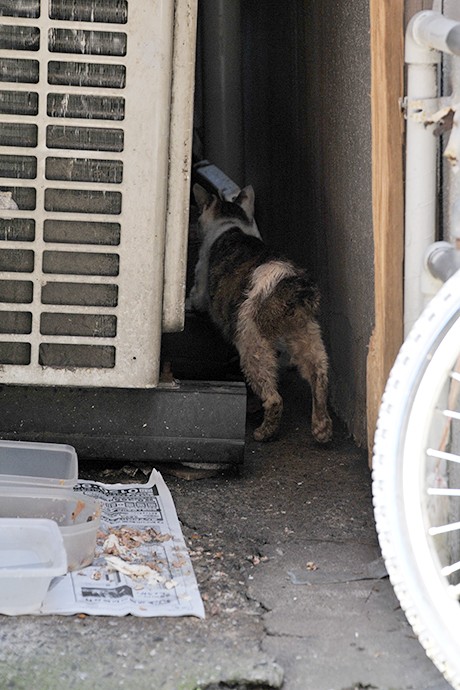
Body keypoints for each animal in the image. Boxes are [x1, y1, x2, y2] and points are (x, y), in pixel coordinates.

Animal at [189, 183, 332, 440]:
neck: (231, 224)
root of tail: (288, 282)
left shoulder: (201, 281)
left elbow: (197, 297)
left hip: (253, 346)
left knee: (274, 398)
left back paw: (264, 432)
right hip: (307, 338)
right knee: (319, 376)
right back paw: (322, 427)